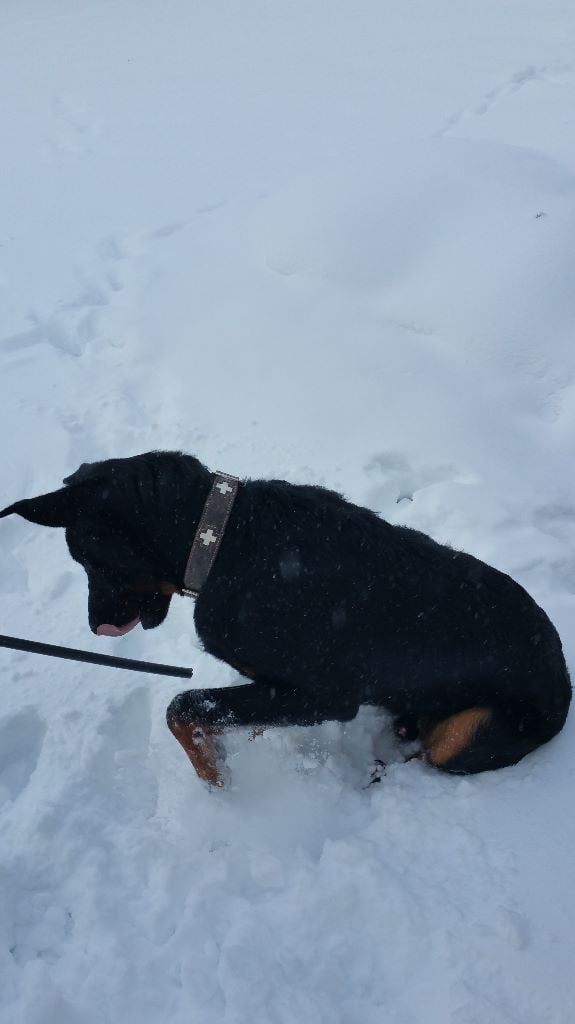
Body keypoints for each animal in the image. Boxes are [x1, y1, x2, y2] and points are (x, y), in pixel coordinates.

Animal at [1, 452, 568, 786]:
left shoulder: (328, 695)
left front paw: (217, 779)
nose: (95, 625)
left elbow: (184, 706)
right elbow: (230, 710)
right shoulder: (280, 690)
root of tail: (566, 683)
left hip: (469, 735)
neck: (222, 541)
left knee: (434, 756)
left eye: (87, 559)